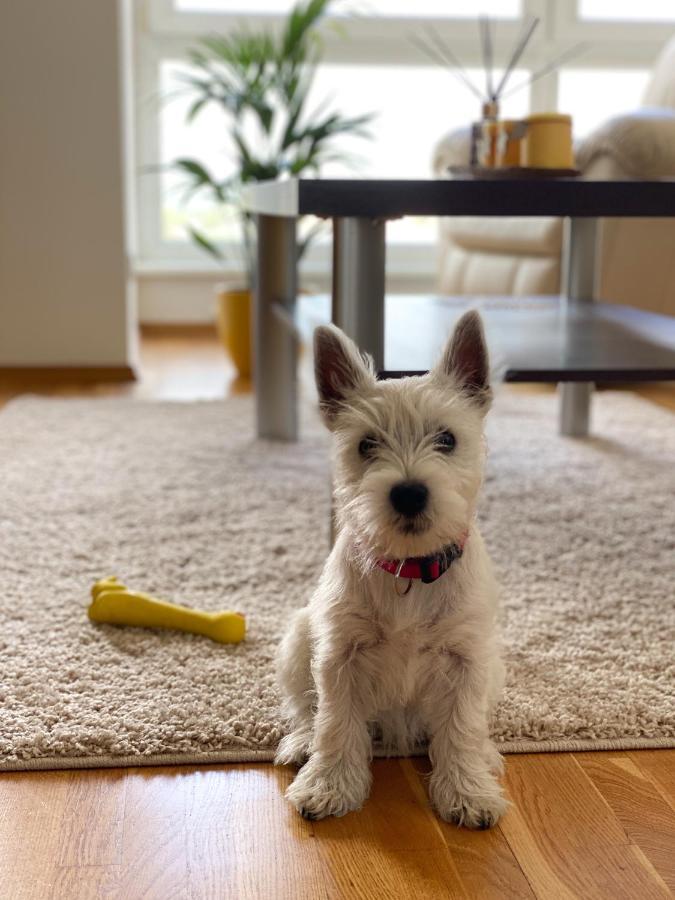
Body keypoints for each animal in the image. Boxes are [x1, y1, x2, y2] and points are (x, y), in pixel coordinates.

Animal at [276, 312, 508, 828]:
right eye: (366, 444)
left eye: (447, 439)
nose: (408, 492)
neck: (409, 569)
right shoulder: (339, 654)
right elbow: (334, 723)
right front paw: (328, 786)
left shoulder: (467, 659)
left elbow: (461, 727)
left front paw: (467, 791)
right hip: (299, 639)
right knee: (305, 708)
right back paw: (301, 742)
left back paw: (484, 756)